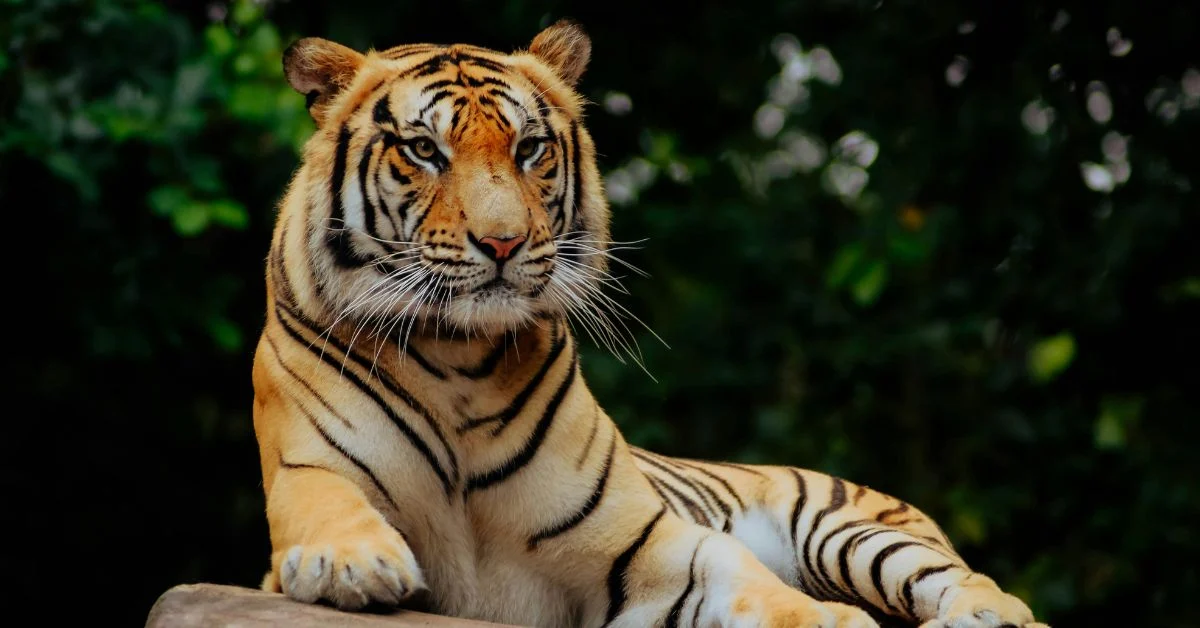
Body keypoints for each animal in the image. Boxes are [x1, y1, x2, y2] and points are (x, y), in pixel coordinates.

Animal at [250, 19, 1049, 628]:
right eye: (424, 149)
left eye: (529, 148)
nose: (504, 242)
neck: (459, 362)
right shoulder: (307, 467)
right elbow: (327, 502)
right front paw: (351, 562)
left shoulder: (645, 542)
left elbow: (745, 577)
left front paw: (828, 618)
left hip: (850, 530)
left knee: (990, 592)